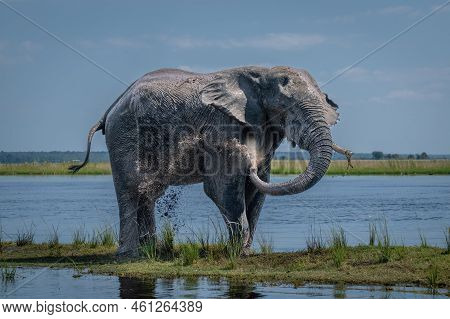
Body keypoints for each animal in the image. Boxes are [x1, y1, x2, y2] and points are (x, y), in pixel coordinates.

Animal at [71, 67, 352, 258]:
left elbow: (256, 192)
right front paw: (237, 253)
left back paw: (152, 249)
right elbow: (223, 189)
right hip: (124, 135)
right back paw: (130, 254)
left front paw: (246, 252)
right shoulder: (222, 126)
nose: (247, 157)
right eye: (288, 109)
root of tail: (109, 110)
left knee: (147, 194)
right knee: (130, 189)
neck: (260, 73)